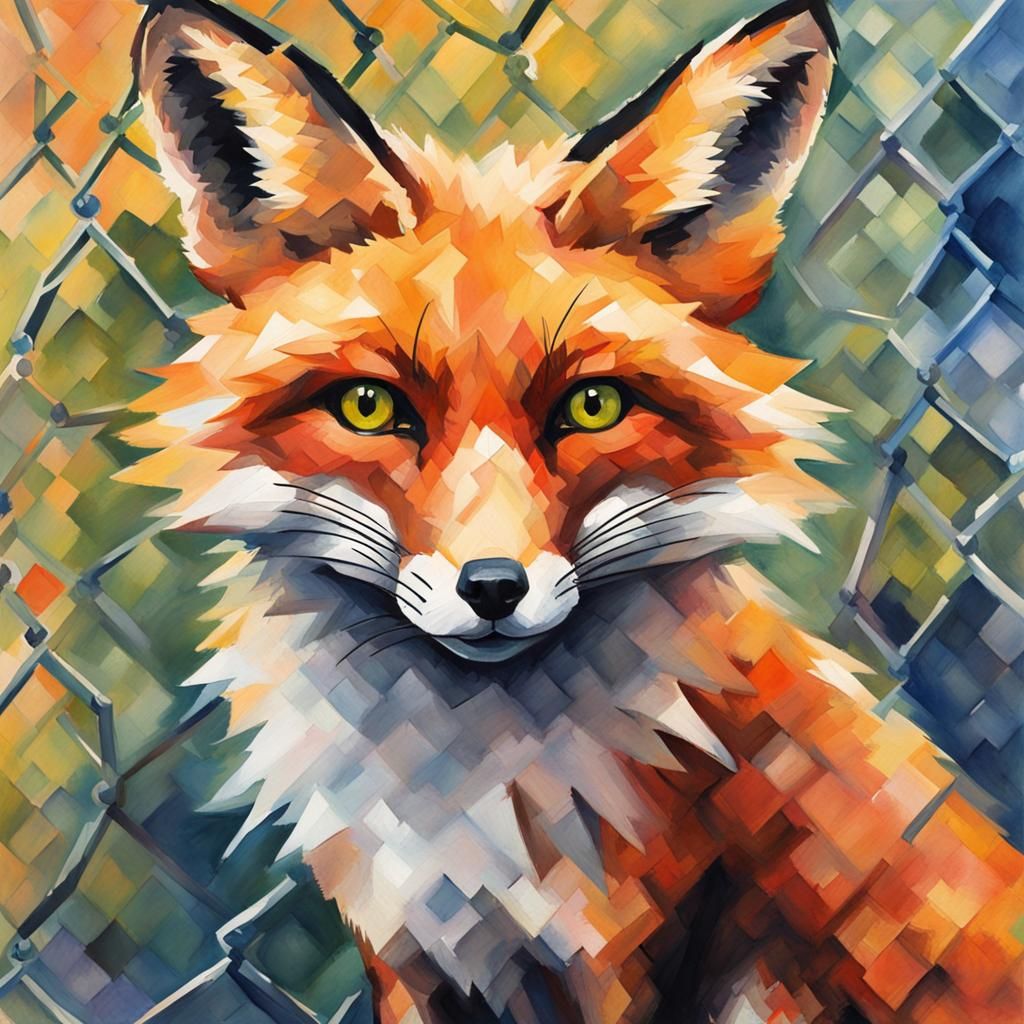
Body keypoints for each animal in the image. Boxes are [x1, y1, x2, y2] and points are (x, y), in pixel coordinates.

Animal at [123, 0, 1024, 1021]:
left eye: (591, 407)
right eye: (369, 407)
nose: (491, 590)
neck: (467, 803)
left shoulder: (620, 953)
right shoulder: (403, 953)